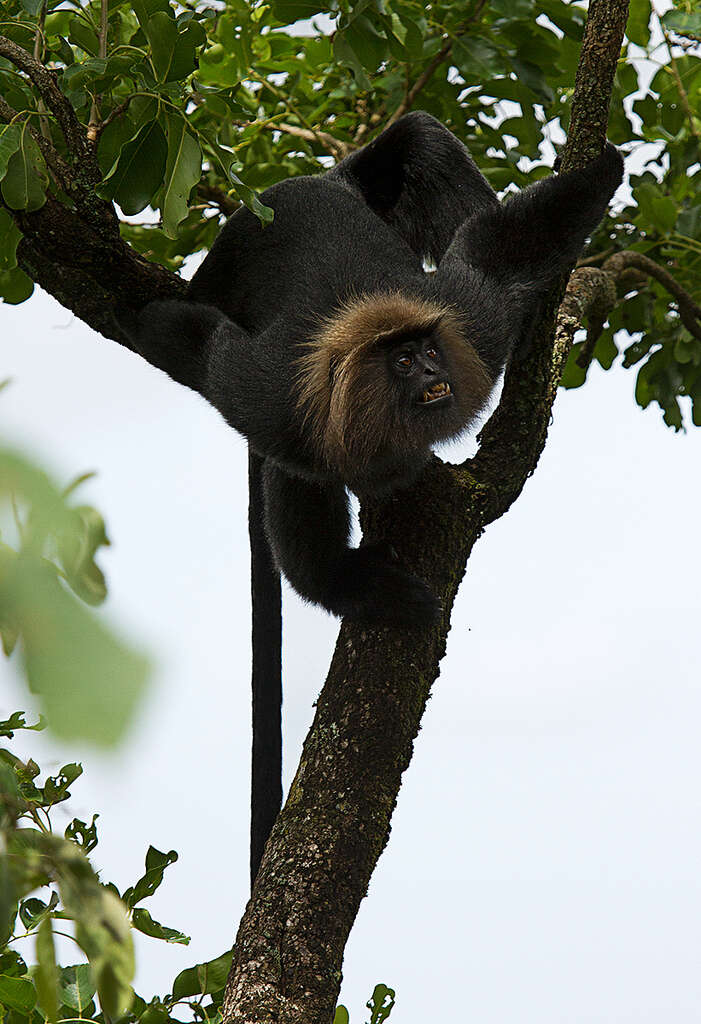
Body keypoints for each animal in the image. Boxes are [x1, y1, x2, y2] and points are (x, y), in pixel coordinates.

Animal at [126, 110, 622, 880]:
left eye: (425, 350)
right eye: (401, 360)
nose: (431, 372)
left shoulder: (466, 321)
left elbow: (502, 248)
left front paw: (610, 161)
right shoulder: (280, 397)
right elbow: (204, 351)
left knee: (419, 139)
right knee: (296, 477)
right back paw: (350, 583)